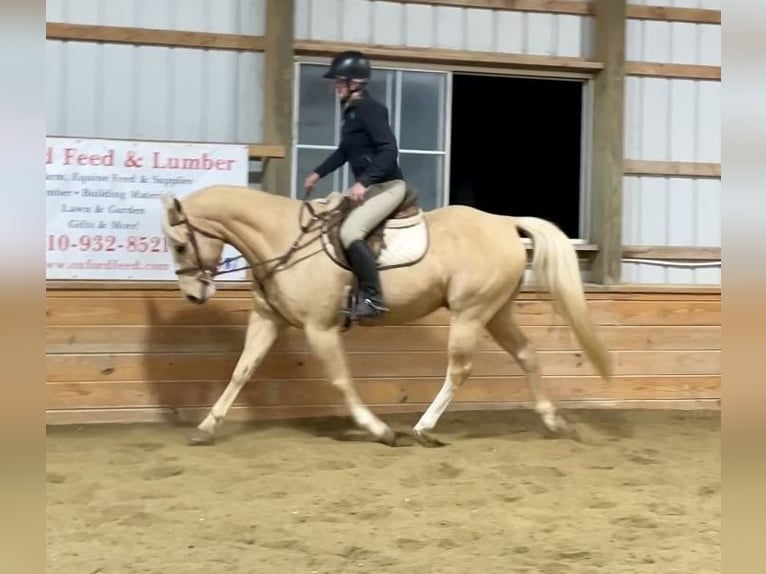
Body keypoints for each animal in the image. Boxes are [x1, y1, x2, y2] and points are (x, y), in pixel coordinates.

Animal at [159, 184, 612, 447]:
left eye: (179, 245)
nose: (193, 295)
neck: (282, 239)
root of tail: (504, 223)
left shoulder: (320, 328)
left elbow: (341, 380)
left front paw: (378, 430)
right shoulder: (267, 320)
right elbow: (242, 370)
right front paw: (207, 427)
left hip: (471, 312)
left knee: (459, 369)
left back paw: (424, 428)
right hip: (496, 312)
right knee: (527, 355)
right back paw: (553, 422)